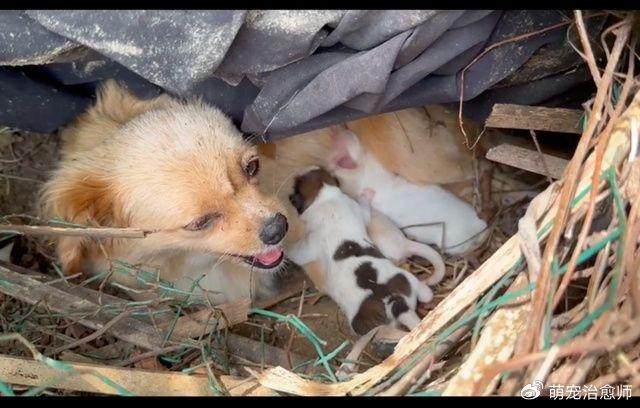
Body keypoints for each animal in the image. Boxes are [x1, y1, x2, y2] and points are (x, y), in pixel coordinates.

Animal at [288, 168, 436, 334]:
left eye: (295, 188)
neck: (327, 197)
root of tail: (391, 300)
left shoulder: (311, 240)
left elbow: (299, 253)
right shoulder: (357, 209)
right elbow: (365, 211)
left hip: (360, 321)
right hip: (410, 280)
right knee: (426, 294)